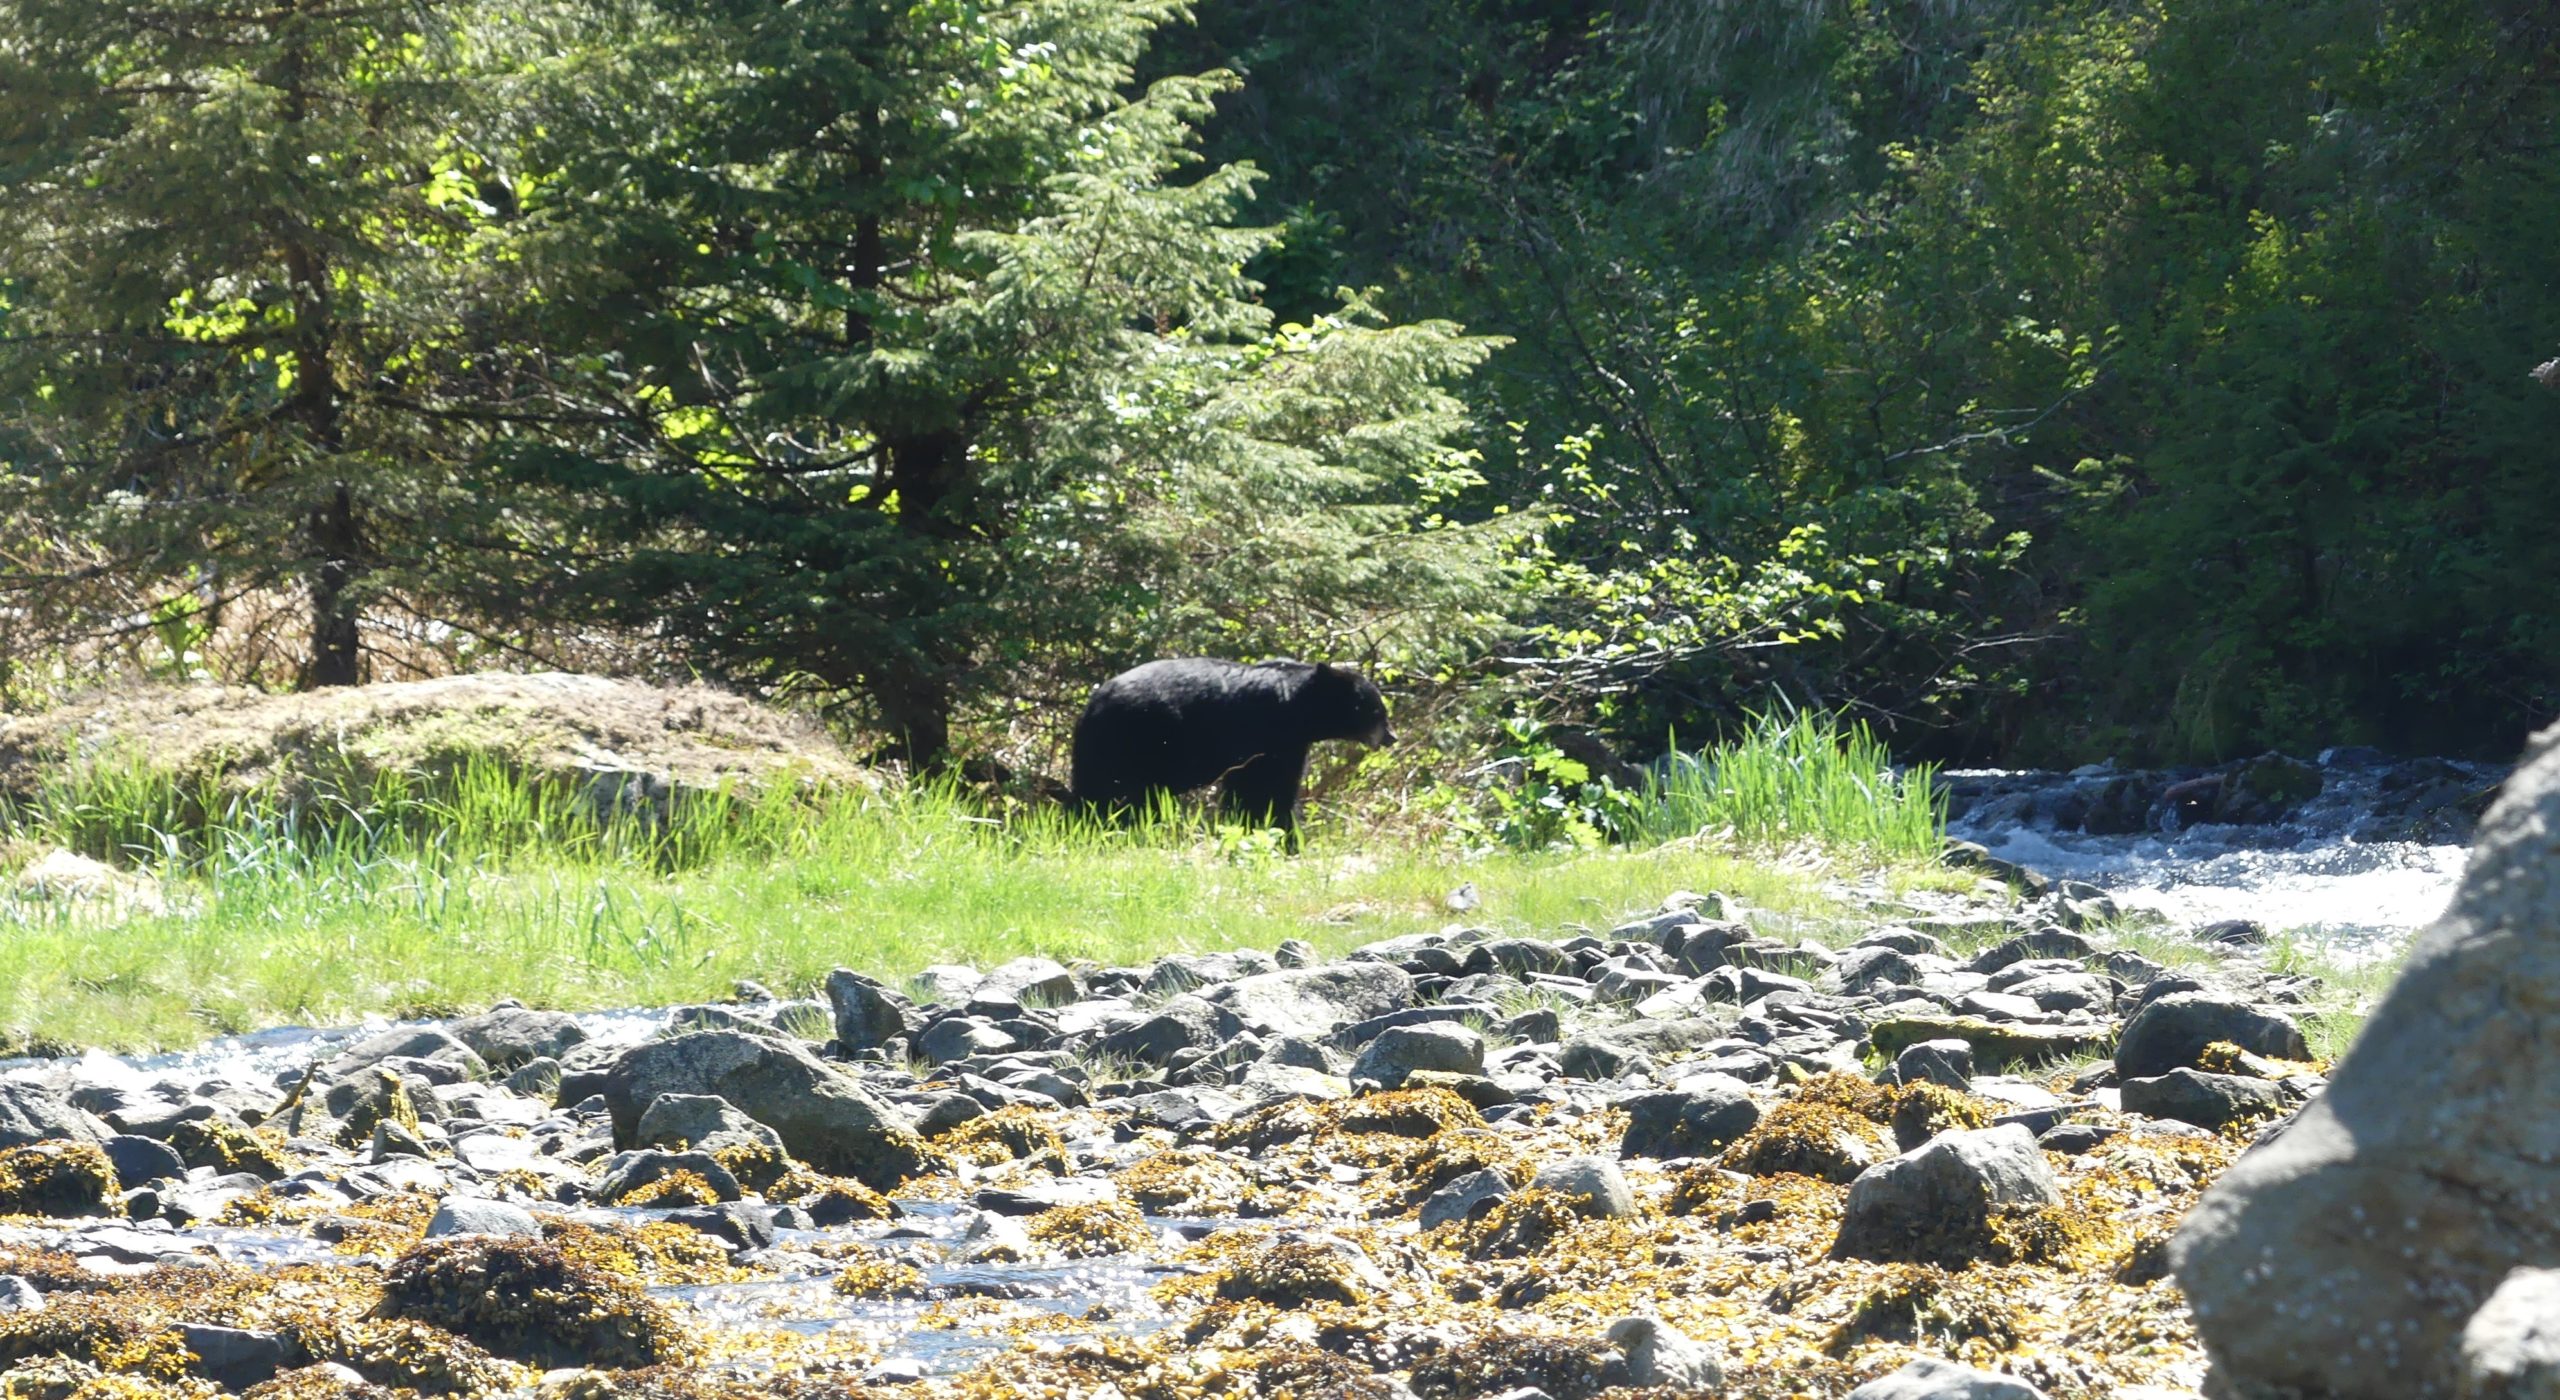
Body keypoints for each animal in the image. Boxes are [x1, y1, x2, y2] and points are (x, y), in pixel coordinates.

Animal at [1064, 660, 1392, 844]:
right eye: (1376, 710)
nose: (1391, 736)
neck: (1298, 707)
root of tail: (1092, 704)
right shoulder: (1269, 736)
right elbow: (1266, 790)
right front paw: (1287, 836)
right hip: (1131, 740)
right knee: (1114, 791)